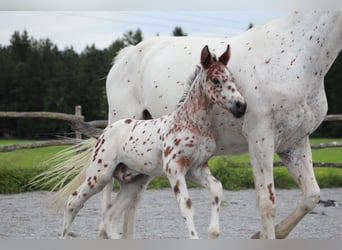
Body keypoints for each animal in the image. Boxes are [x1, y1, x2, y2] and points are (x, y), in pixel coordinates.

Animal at [60, 44, 246, 238]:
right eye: (216, 80)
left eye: (232, 78)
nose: (241, 105)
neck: (191, 123)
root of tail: (105, 132)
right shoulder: (174, 167)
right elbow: (185, 204)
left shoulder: (197, 168)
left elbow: (217, 188)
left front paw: (213, 231)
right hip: (99, 175)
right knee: (73, 201)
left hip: (133, 183)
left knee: (110, 214)